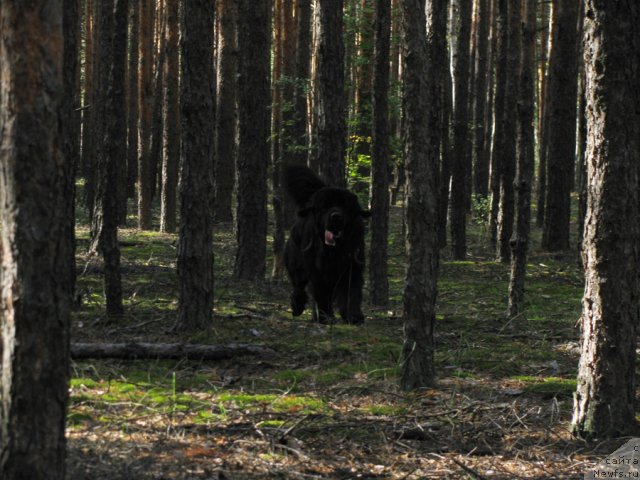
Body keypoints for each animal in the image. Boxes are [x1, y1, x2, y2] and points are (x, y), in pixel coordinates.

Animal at [282, 163, 368, 324]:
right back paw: (298, 306)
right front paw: (325, 317)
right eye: (324, 207)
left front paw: (353, 315)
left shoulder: (352, 266)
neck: (334, 250)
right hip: (296, 261)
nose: (335, 216)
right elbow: (321, 293)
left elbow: (351, 292)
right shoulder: (317, 271)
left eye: (344, 206)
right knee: (298, 285)